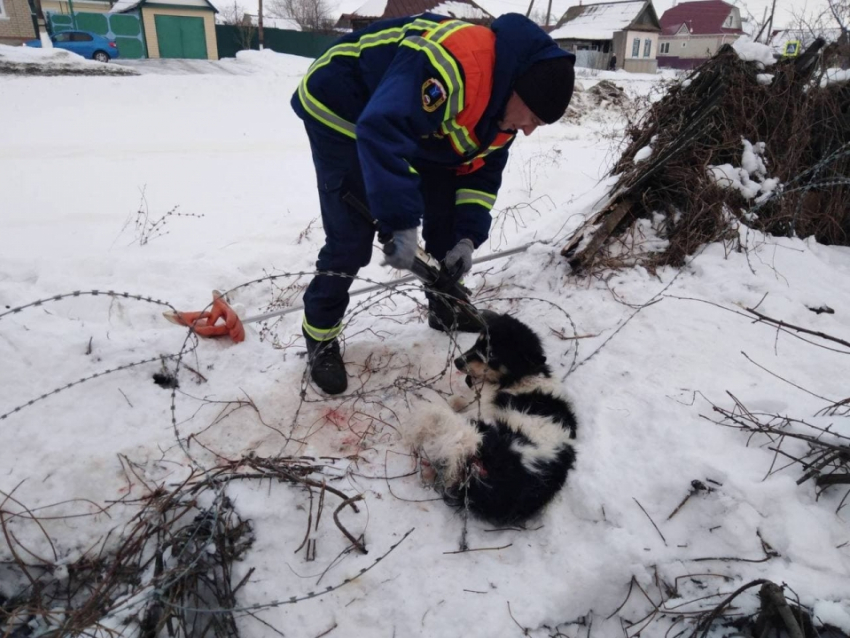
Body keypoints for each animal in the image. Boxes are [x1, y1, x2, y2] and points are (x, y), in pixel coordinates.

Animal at [408, 310, 580, 524]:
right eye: (477, 342)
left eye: (491, 354)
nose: (457, 362)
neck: (518, 378)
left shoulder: (483, 409)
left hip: (478, 429)